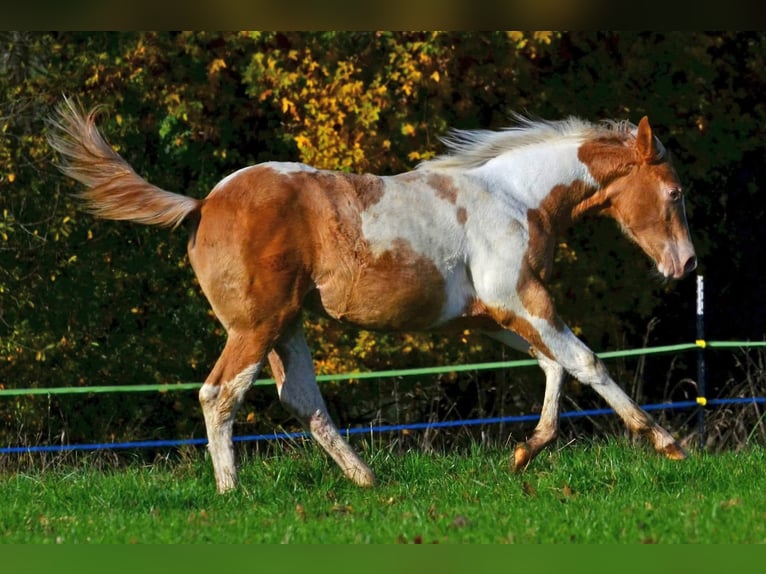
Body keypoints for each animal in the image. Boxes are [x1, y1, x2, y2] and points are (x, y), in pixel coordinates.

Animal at [48, 98, 697, 493]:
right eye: (673, 193)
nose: (686, 263)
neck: (516, 197)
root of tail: (204, 203)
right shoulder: (518, 299)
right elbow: (586, 361)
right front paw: (666, 442)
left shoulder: (492, 315)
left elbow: (552, 366)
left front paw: (525, 452)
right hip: (255, 327)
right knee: (220, 394)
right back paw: (232, 491)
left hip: (287, 326)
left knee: (302, 399)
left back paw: (366, 480)